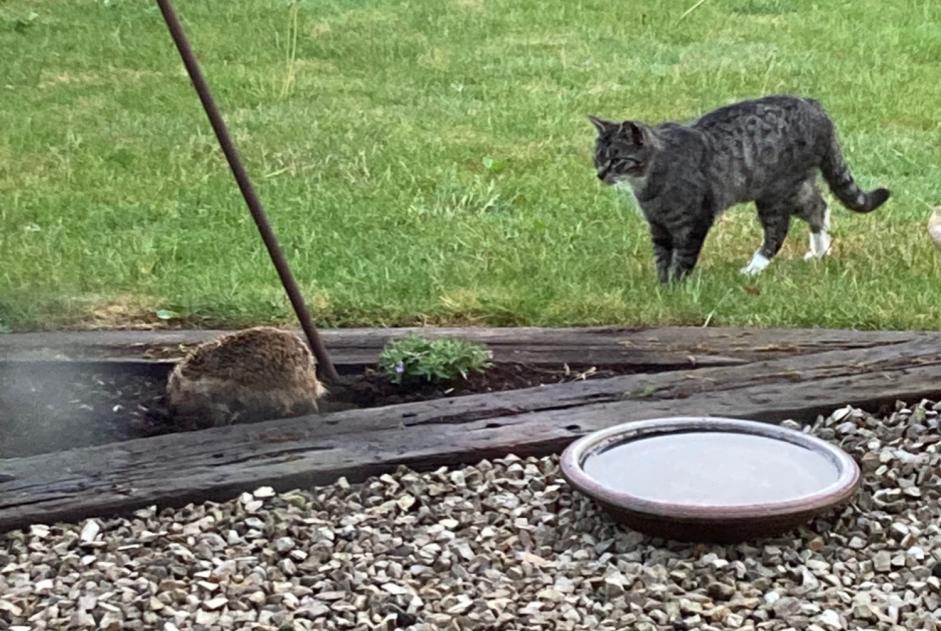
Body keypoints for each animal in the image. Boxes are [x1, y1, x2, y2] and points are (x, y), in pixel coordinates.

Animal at [588, 95, 888, 282]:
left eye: (616, 159)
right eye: (598, 157)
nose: (600, 175)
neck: (648, 182)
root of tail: (814, 106)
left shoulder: (696, 219)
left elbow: (683, 255)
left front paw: (675, 285)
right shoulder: (658, 225)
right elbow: (662, 255)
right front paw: (661, 285)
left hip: (776, 193)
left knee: (778, 233)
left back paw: (754, 268)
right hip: (794, 187)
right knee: (819, 207)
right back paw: (818, 252)